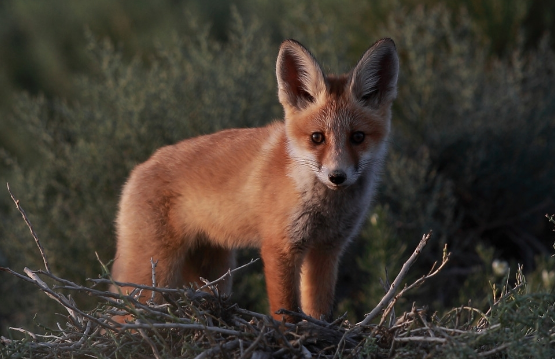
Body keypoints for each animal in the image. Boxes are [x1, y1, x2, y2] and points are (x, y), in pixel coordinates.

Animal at [112, 38, 400, 322]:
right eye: (317, 138)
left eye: (358, 137)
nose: (337, 176)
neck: (325, 207)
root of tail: (138, 168)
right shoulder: (279, 246)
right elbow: (286, 312)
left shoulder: (326, 250)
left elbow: (318, 310)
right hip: (154, 272)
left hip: (214, 271)